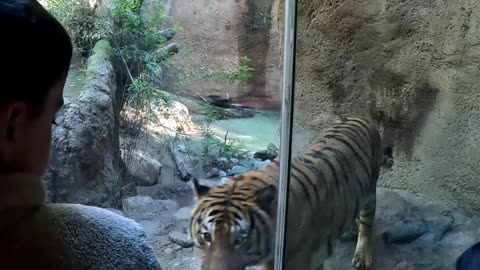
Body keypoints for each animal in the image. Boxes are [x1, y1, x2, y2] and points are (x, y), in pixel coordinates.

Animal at [188, 117, 394, 270]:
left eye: (239, 240)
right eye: (207, 236)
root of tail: (361, 118)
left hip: (370, 192)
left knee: (367, 223)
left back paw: (362, 256)